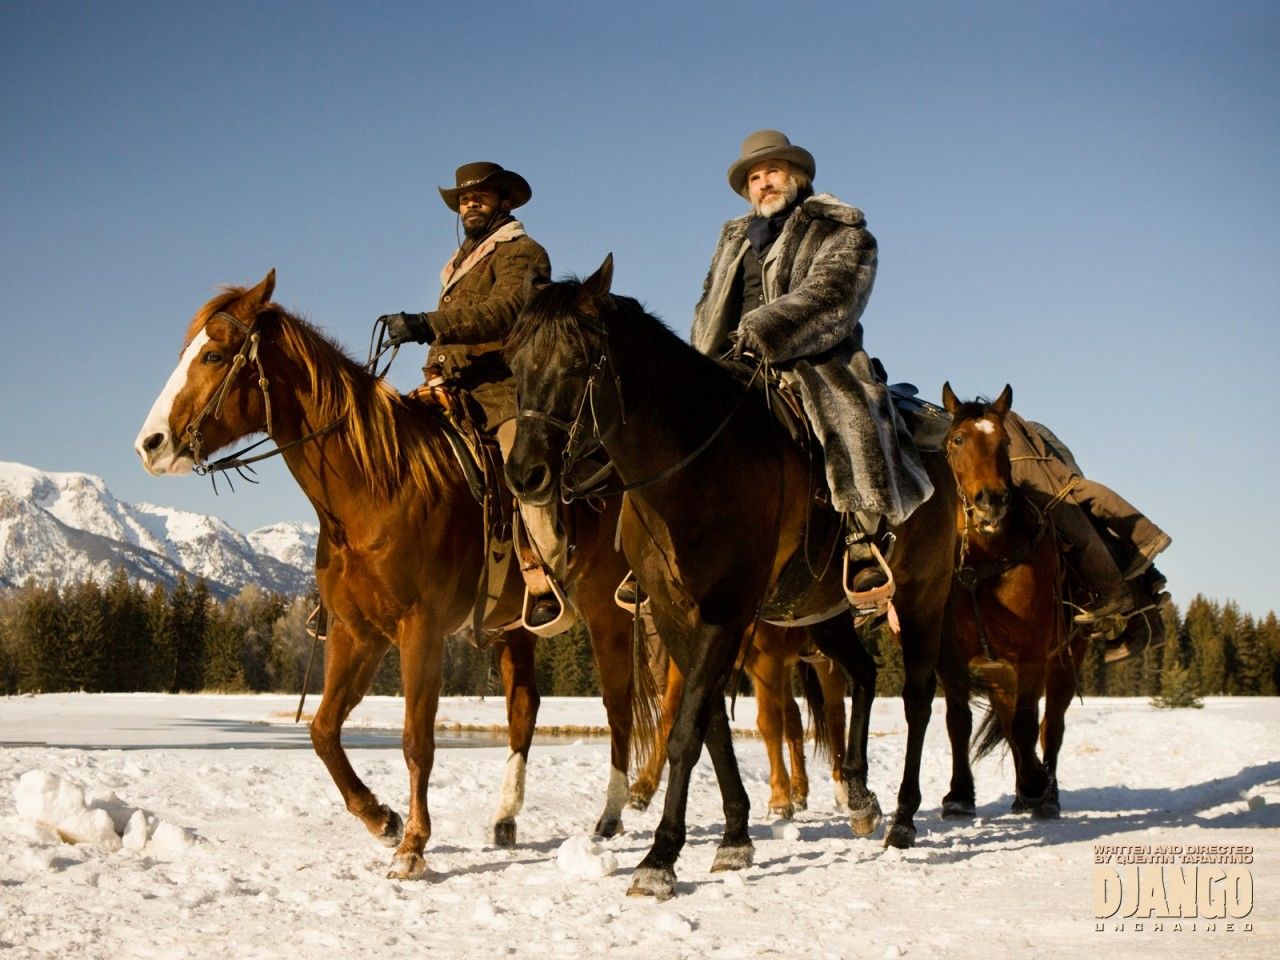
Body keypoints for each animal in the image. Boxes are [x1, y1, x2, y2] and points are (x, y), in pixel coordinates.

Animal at [133, 271, 650, 880]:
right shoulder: (356, 633)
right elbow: (323, 730)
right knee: (524, 710)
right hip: (515, 630)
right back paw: (504, 818)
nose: (150, 444)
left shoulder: (418, 631)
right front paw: (382, 820)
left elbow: (415, 740)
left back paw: (610, 815)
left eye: (214, 354)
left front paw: (414, 847)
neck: (376, 488)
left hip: (606, 610)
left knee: (618, 704)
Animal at [504, 257, 957, 901]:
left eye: (578, 361)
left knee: (917, 700)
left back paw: (901, 820)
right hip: (825, 612)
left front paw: (660, 858)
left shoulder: (725, 611)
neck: (690, 471)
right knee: (865, 675)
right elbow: (712, 724)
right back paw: (859, 793)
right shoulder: (677, 616)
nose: (525, 474)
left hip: (923, 597)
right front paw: (736, 836)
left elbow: (686, 729)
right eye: (515, 362)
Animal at [936, 384, 1085, 819]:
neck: (985, 563)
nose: (991, 500)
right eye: (957, 440)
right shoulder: (949, 659)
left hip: (1064, 660)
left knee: (1049, 726)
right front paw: (958, 795)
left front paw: (1036, 785)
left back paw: (1044, 792)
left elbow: (1025, 725)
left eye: (1004, 443)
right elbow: (959, 722)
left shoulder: (1032, 657)